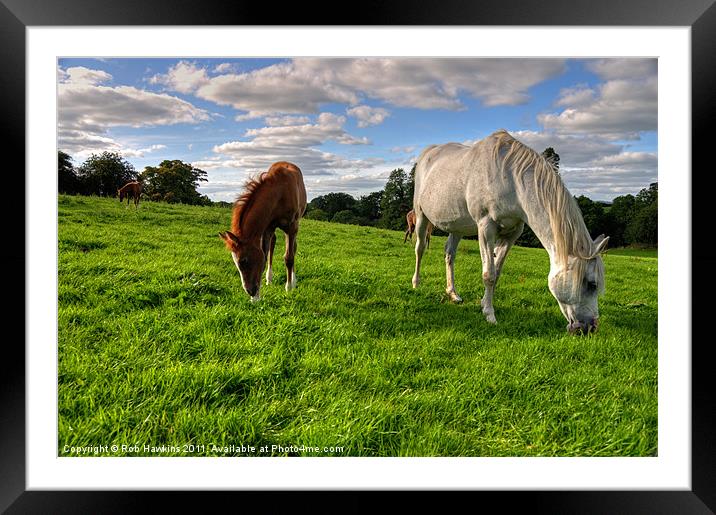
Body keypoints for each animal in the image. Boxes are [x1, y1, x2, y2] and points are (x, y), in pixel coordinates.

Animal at [218, 162, 308, 302]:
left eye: (244, 261)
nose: (250, 291)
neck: (280, 193)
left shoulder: (292, 227)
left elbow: (289, 257)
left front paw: (288, 288)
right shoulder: (268, 228)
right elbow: (264, 257)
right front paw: (256, 298)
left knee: (294, 248)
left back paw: (293, 280)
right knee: (273, 245)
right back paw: (269, 279)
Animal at [412, 130, 608, 334]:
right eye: (592, 284)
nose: (590, 327)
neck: (511, 179)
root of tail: (428, 153)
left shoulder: (512, 233)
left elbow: (497, 272)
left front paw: (484, 304)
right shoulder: (486, 227)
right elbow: (489, 274)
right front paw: (490, 315)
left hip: (457, 227)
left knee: (450, 254)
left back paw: (453, 293)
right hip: (420, 215)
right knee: (420, 248)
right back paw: (416, 283)